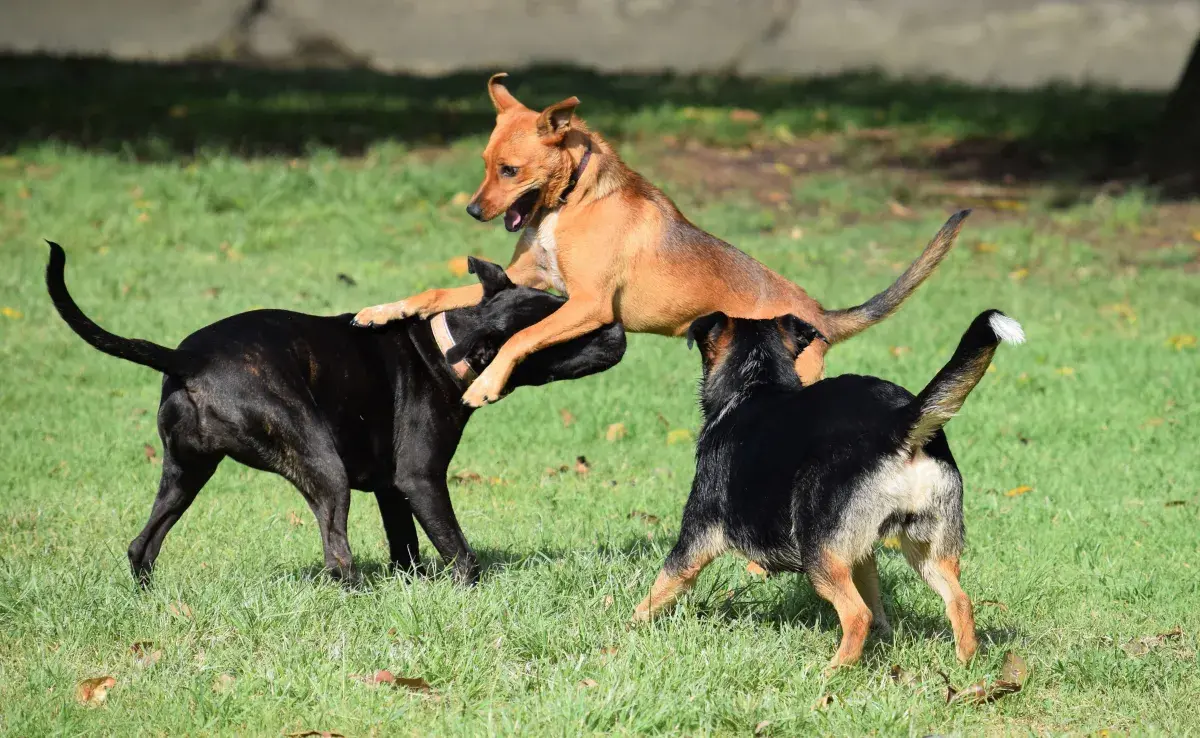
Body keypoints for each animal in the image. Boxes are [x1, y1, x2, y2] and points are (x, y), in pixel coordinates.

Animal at [46, 246, 628, 585]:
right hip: (323, 467)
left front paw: (413, 584)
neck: (444, 346)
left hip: (184, 474)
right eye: (563, 332)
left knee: (141, 545)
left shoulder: (393, 490)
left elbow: (406, 547)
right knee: (336, 554)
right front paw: (468, 588)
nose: (619, 327)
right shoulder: (421, 479)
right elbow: (458, 550)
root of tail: (186, 358)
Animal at [350, 73, 969, 410]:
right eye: (484, 164)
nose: (474, 210)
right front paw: (382, 310)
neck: (571, 200)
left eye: (509, 170)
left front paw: (485, 386)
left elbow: (518, 339)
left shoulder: (588, 305)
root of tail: (819, 315)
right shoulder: (527, 281)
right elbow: (433, 294)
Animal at [638, 309, 1022, 667]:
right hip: (928, 549)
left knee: (856, 615)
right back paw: (965, 664)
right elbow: (875, 596)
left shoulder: (696, 536)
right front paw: (885, 635)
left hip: (818, 549)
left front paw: (632, 627)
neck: (755, 385)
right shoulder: (861, 552)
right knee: (959, 601)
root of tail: (898, 422)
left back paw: (831, 673)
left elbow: (661, 586)